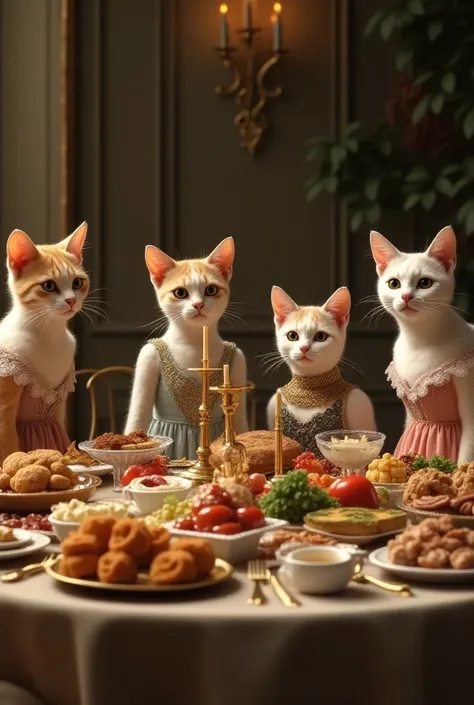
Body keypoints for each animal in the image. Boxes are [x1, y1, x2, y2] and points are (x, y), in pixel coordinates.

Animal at [0, 221, 89, 462]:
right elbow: (8, 445)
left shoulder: (60, 409)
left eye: (77, 282)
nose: (71, 300)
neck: (49, 335)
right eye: (48, 286)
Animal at [124, 238, 250, 462]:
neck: (194, 341)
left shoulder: (239, 362)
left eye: (211, 290)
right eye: (180, 293)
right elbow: (138, 416)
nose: (198, 304)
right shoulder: (147, 358)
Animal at [266, 284, 374, 454]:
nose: (304, 348)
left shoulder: (359, 403)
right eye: (292, 336)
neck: (309, 390)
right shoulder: (272, 407)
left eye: (321, 337)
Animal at [370, 226, 474, 462]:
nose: (406, 296)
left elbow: (466, 452)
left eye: (425, 283)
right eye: (394, 283)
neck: (419, 341)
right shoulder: (409, 415)